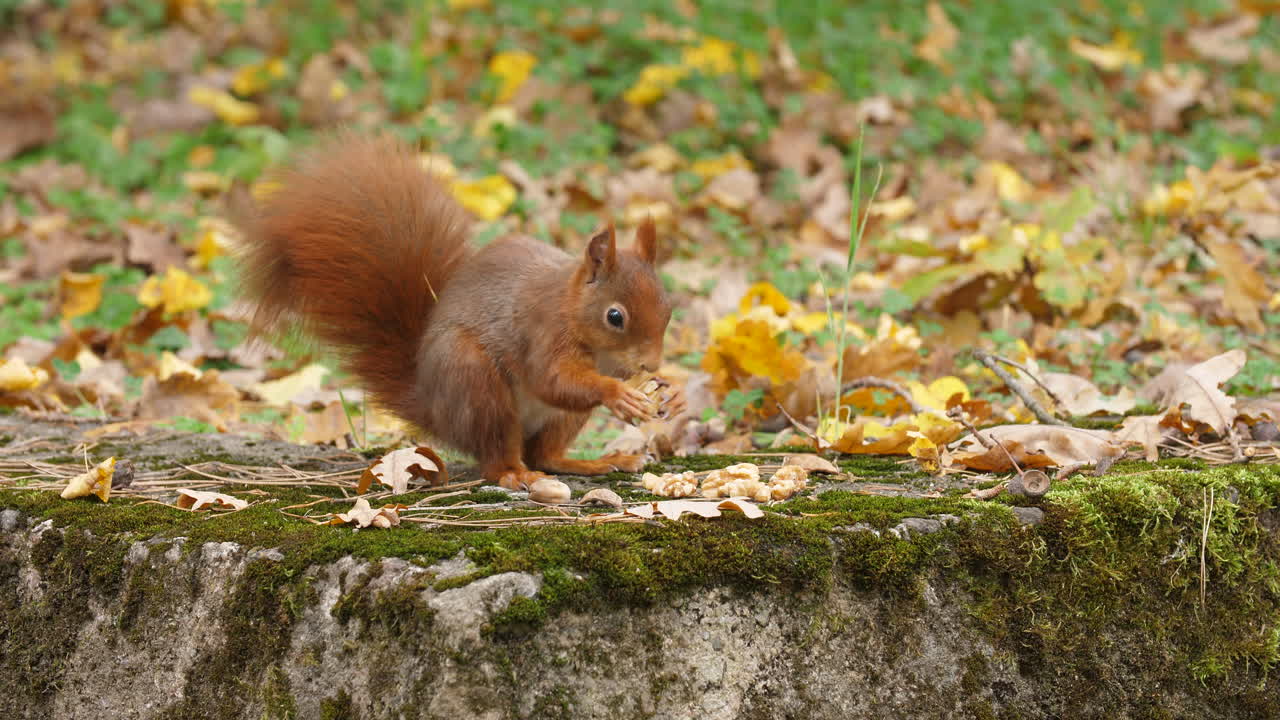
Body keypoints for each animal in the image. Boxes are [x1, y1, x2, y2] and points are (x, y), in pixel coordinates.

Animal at [231, 133, 682, 490]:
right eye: (615, 317)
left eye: (668, 307)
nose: (652, 362)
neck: (572, 310)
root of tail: (434, 406)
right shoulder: (543, 333)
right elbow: (554, 379)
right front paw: (617, 394)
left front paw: (672, 391)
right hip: (476, 384)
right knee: (499, 454)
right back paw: (514, 474)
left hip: (559, 420)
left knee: (546, 455)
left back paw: (596, 461)